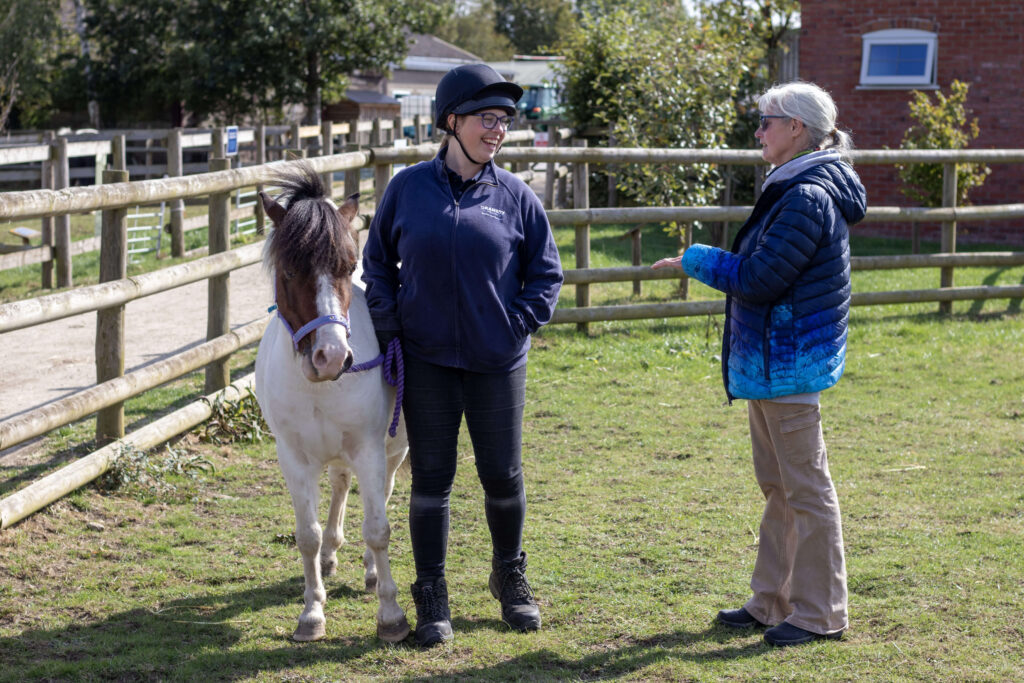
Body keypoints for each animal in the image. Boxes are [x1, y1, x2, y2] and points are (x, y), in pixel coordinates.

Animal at [254, 163, 410, 643]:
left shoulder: (370, 449)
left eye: (349, 266)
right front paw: (311, 614)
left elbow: (378, 528)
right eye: (288, 270)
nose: (333, 357)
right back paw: (331, 556)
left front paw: (391, 615)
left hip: (393, 451)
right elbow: (307, 534)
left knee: (379, 496)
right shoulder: (293, 458)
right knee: (340, 486)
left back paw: (371, 571)